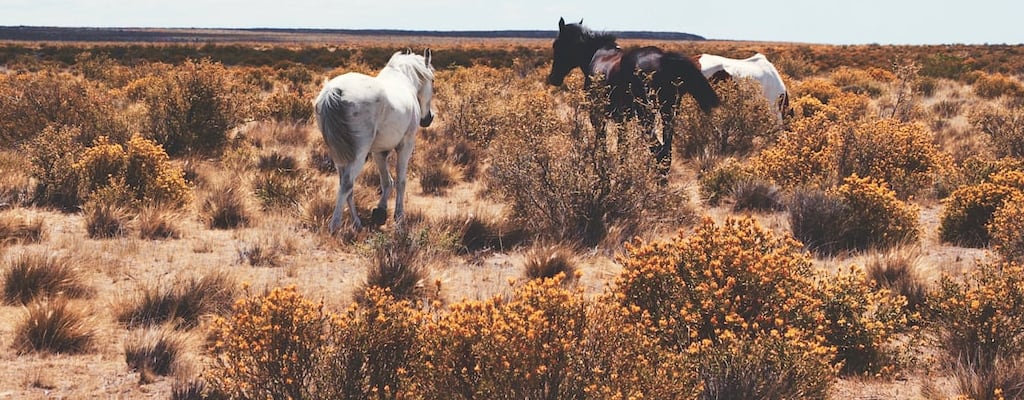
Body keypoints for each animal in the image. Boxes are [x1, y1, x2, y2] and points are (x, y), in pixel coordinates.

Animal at [315, 49, 436, 232]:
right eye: (433, 80)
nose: (428, 119)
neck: (405, 81)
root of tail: (334, 91)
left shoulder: (379, 152)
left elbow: (387, 182)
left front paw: (380, 211)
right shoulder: (405, 146)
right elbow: (400, 181)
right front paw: (398, 216)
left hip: (339, 156)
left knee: (346, 185)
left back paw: (357, 223)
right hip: (358, 155)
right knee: (347, 185)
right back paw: (335, 226)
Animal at [544, 17, 720, 176]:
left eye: (556, 44)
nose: (554, 78)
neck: (596, 55)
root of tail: (664, 59)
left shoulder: (597, 115)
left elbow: (603, 142)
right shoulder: (622, 119)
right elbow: (622, 146)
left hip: (646, 115)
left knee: (658, 151)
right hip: (669, 112)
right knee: (666, 153)